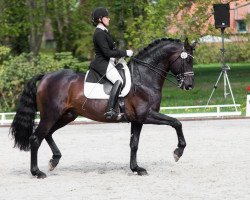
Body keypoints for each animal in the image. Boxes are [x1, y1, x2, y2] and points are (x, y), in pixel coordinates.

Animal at [10, 37, 196, 178]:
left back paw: (54, 160)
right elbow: (176, 122)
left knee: (47, 134)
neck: (144, 78)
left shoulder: (137, 120)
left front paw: (136, 168)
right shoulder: (146, 115)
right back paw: (37, 172)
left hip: (66, 115)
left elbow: (134, 144)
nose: (189, 86)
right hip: (51, 115)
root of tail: (46, 76)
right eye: (187, 60)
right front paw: (178, 152)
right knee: (36, 138)